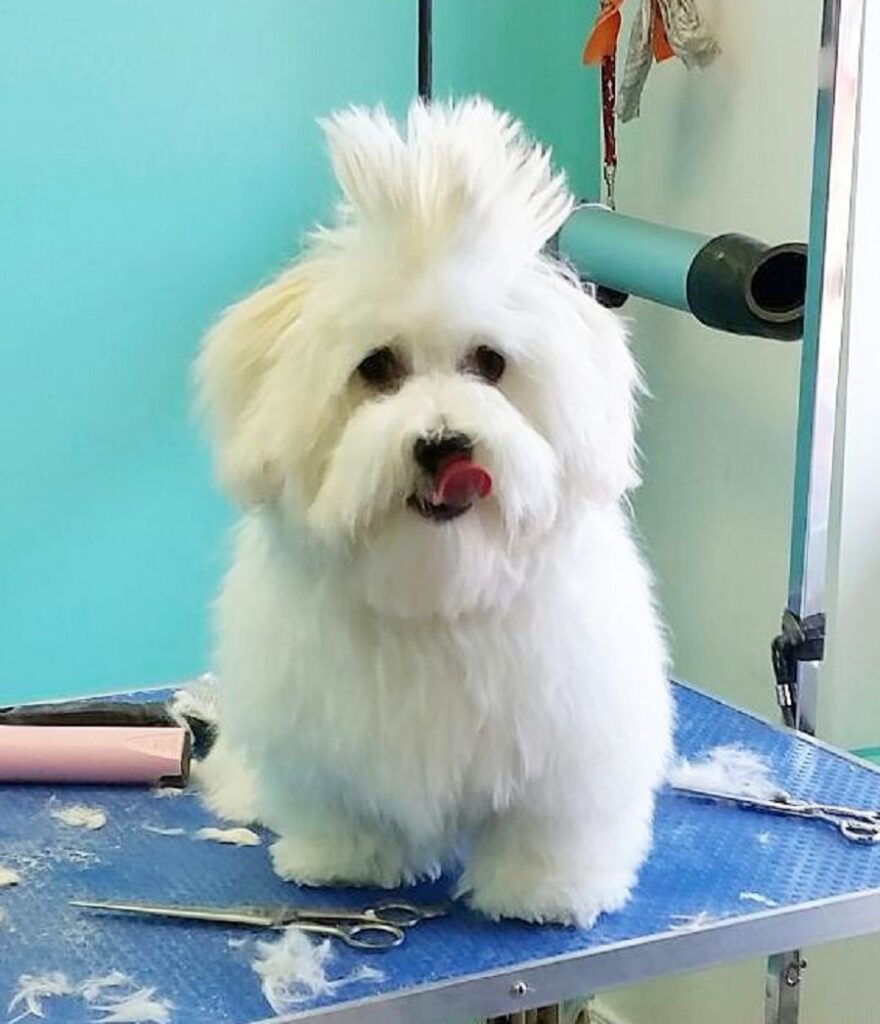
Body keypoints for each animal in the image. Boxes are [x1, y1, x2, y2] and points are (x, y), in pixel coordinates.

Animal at [194, 97, 676, 929]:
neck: (437, 590)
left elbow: (549, 824)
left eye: (490, 362)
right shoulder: (324, 738)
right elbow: (343, 807)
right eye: (377, 367)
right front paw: (345, 862)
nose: (445, 443)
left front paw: (542, 892)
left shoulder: (570, 736)